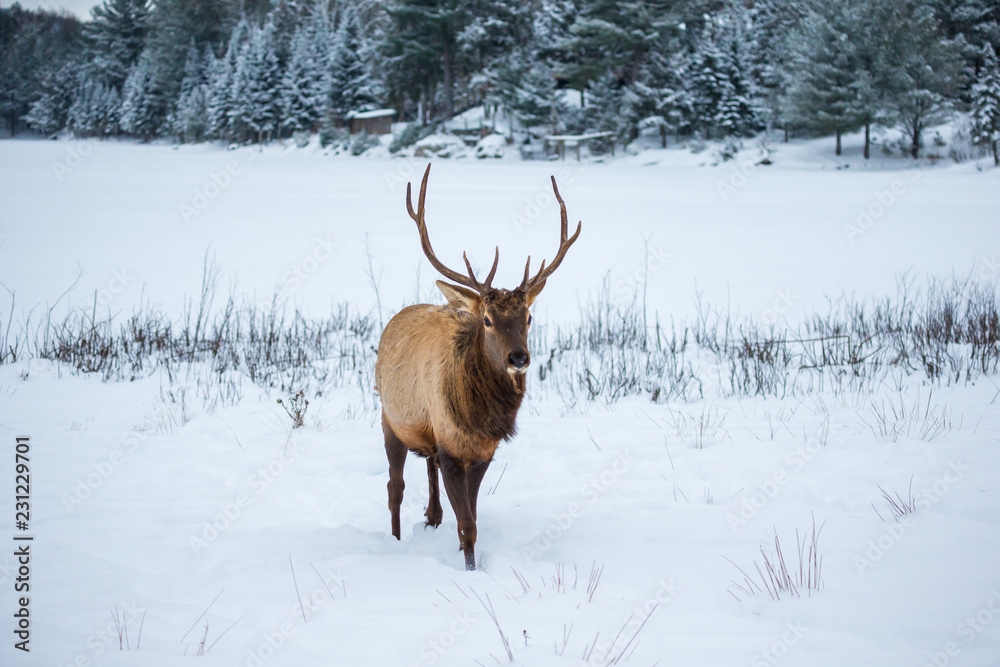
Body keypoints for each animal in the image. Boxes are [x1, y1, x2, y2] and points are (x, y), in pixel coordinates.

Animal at [374, 164, 580, 572]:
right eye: (486, 319)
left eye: (528, 316)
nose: (519, 358)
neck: (478, 418)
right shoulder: (453, 450)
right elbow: (467, 524)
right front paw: (470, 569)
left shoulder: (482, 451)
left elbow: (471, 516)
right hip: (390, 418)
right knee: (394, 487)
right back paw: (395, 539)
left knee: (428, 468)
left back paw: (432, 517)